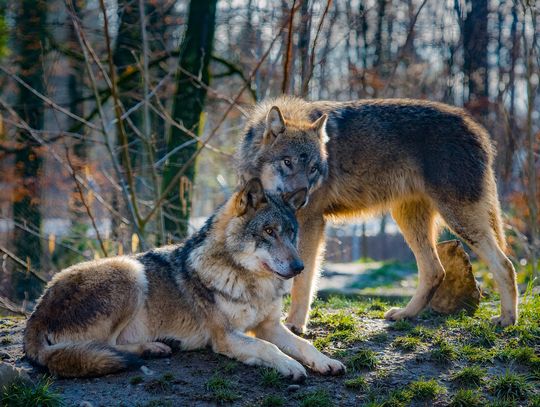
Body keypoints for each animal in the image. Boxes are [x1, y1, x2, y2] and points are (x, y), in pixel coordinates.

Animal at [23, 180, 344, 380]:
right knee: (105, 347)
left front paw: (325, 361)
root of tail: (36, 312)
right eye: (268, 232)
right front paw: (290, 366)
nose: (300, 267)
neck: (251, 283)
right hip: (130, 271)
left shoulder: (269, 325)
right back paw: (153, 348)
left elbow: (304, 345)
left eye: (290, 233)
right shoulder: (225, 337)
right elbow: (269, 348)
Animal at [238, 96, 516, 334]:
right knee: (435, 270)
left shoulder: (311, 222)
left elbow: (303, 279)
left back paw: (507, 319)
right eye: (287, 162)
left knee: (505, 264)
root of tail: (477, 128)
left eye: (314, 169)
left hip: (459, 219)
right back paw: (405, 314)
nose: (302, 198)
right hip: (408, 220)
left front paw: (295, 325)